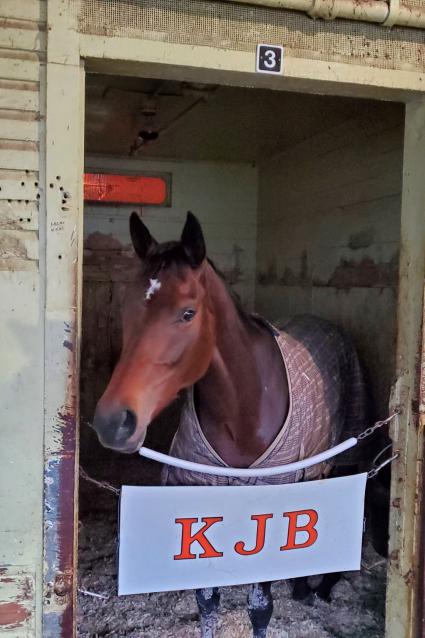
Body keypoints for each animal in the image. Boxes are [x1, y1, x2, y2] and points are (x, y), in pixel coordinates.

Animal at [93, 211, 368, 638]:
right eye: (125, 309)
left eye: (187, 313)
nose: (112, 421)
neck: (244, 412)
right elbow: (207, 601)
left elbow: (260, 606)